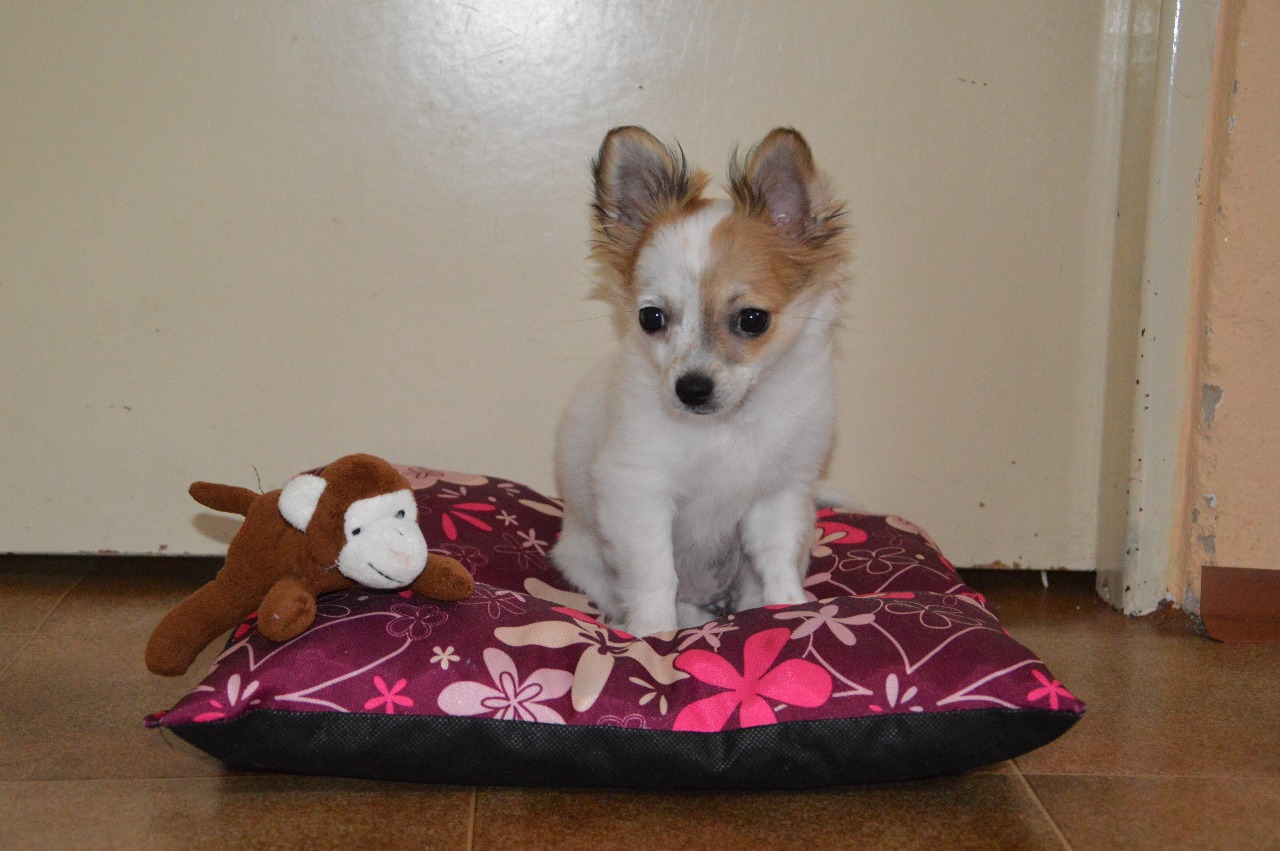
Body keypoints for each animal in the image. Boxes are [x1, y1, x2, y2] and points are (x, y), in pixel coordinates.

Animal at [549, 126, 849, 637]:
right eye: (650, 318)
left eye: (752, 320)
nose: (690, 389)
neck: (723, 429)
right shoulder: (637, 490)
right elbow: (655, 572)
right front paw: (653, 633)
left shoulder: (779, 494)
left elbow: (776, 557)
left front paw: (789, 609)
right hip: (584, 559)